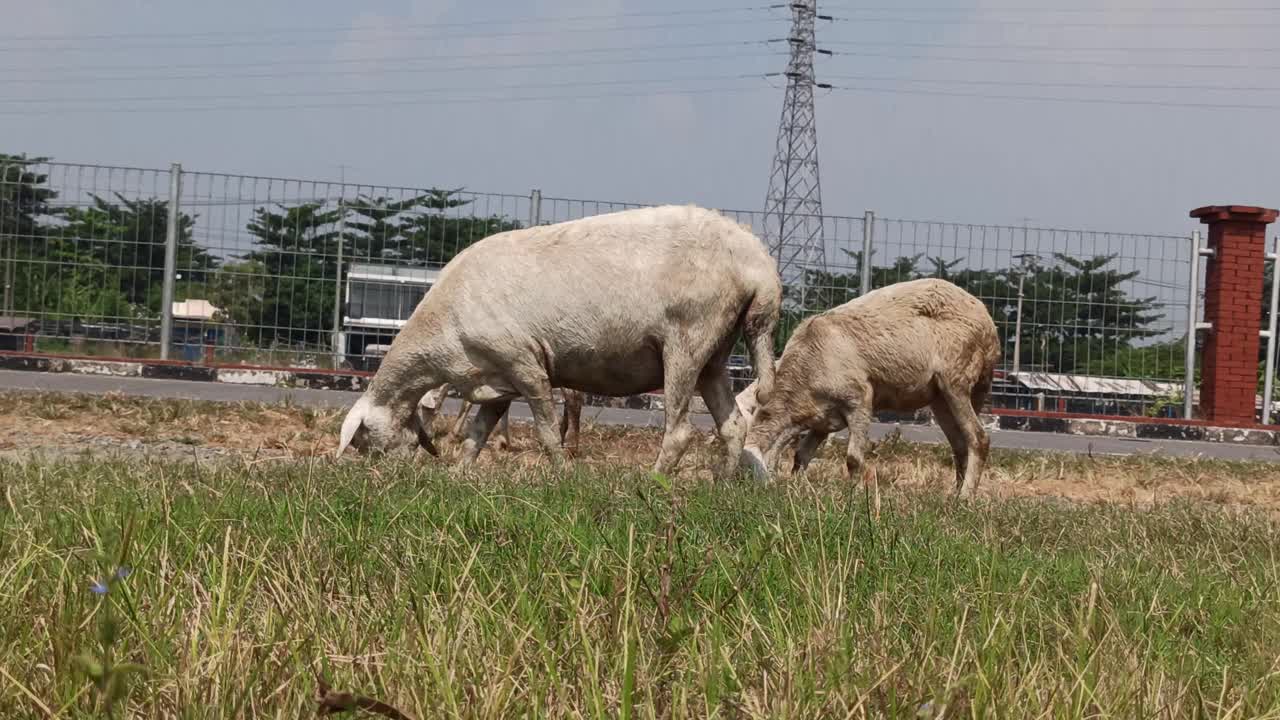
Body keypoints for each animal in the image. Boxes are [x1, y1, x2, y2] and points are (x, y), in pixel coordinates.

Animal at [337, 202, 778, 476]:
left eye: (363, 439)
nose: (391, 474)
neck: (443, 331)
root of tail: (758, 264)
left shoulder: (523, 361)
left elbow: (547, 430)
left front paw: (563, 473)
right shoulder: (496, 374)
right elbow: (478, 432)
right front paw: (458, 473)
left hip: (688, 338)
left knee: (681, 430)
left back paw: (652, 481)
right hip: (715, 352)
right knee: (733, 424)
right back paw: (721, 482)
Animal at [742, 274, 998, 491]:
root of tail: (988, 323)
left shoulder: (859, 399)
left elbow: (853, 458)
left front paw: (853, 496)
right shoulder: (823, 419)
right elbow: (801, 454)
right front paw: (796, 489)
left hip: (957, 380)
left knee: (978, 439)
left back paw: (966, 497)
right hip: (940, 398)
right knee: (960, 445)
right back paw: (953, 496)